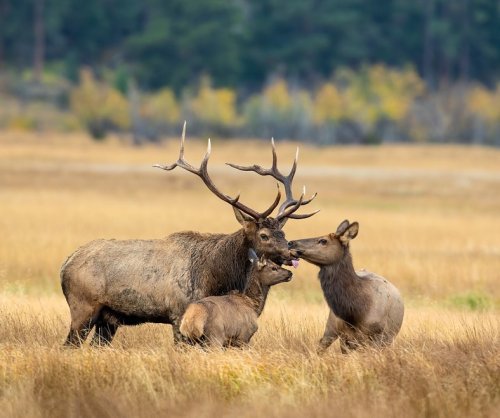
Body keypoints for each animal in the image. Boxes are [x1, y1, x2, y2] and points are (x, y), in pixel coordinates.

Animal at [59, 123, 316, 346]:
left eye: (283, 232)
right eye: (264, 235)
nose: (293, 253)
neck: (216, 277)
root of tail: (65, 264)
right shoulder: (178, 312)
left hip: (108, 319)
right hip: (83, 307)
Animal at [288, 220, 404, 354]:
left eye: (323, 241)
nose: (291, 243)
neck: (355, 313)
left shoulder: (377, 336)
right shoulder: (342, 334)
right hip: (332, 326)